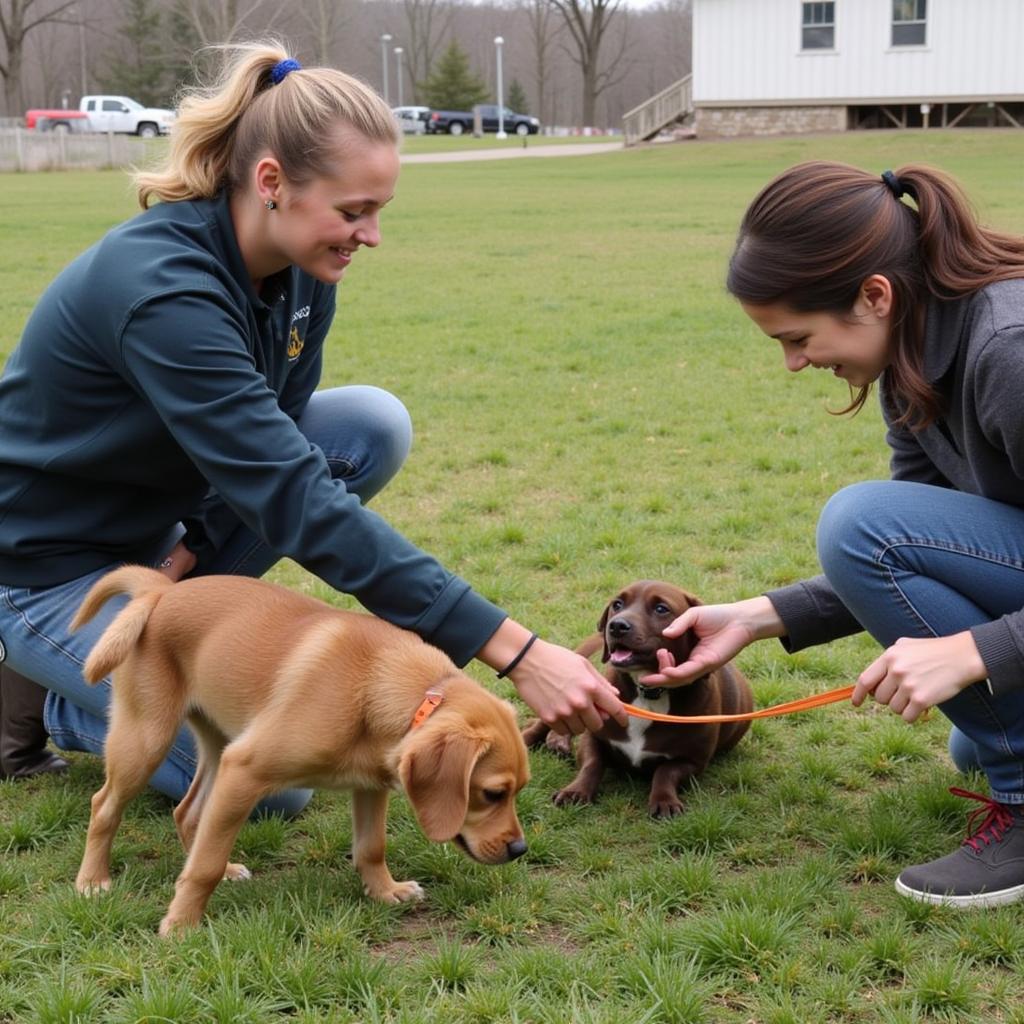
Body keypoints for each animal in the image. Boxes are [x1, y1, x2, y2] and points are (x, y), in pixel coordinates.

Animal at [70, 569, 528, 937]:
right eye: (492, 794)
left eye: (518, 790)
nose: (520, 850)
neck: (376, 683)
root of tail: (163, 590)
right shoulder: (245, 771)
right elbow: (204, 867)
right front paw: (181, 924)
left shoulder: (370, 785)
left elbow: (371, 847)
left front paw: (385, 890)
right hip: (147, 739)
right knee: (104, 805)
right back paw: (93, 880)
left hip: (217, 744)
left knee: (188, 812)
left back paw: (227, 867)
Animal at [524, 581, 749, 819]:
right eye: (617, 604)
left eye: (661, 609)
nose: (616, 626)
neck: (647, 692)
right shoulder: (594, 737)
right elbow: (592, 763)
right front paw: (576, 791)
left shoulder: (692, 761)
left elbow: (665, 771)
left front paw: (664, 800)